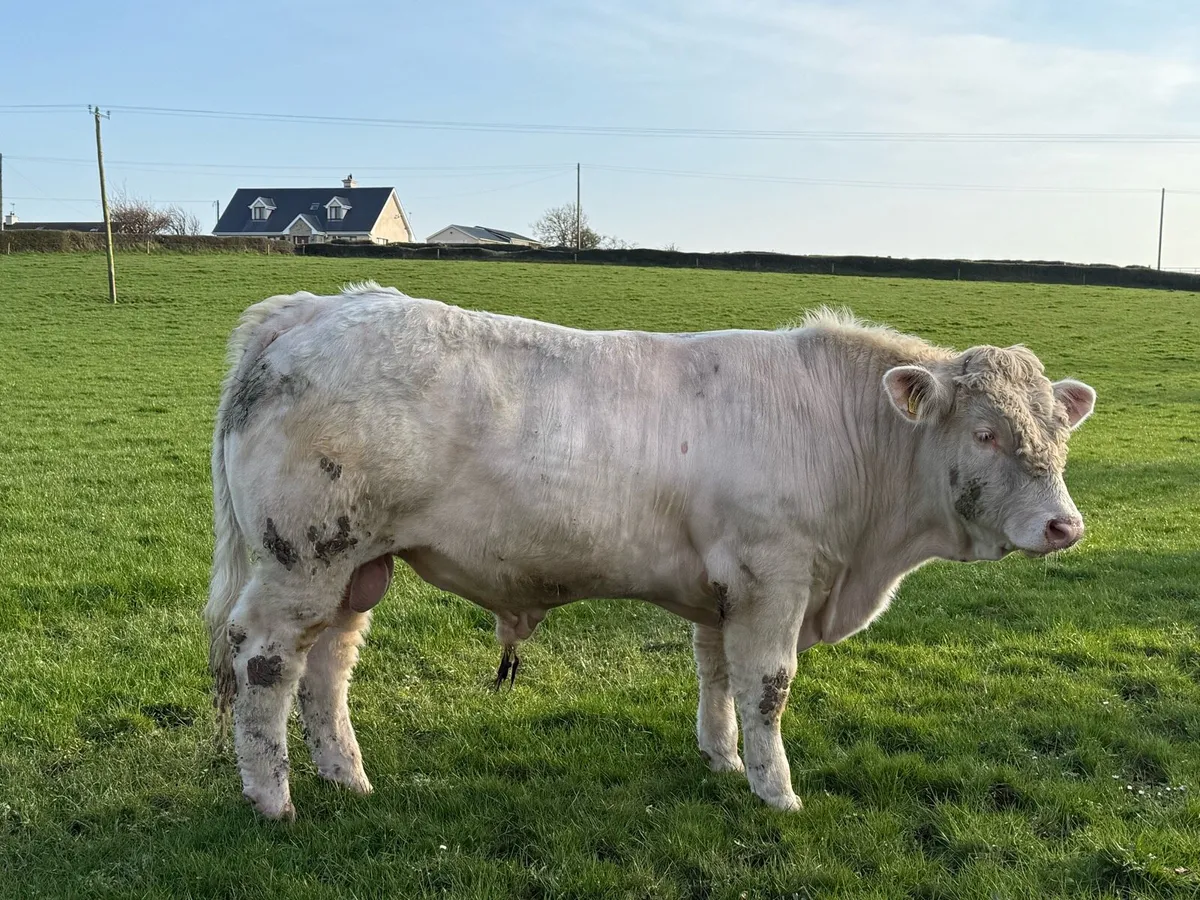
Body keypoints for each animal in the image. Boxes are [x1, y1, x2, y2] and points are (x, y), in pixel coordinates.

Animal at [205, 282, 1096, 820]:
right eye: (985, 434)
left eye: (1060, 429)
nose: (1065, 526)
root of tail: (318, 305)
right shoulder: (775, 577)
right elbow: (768, 685)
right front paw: (778, 792)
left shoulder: (725, 589)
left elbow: (717, 673)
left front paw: (722, 758)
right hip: (303, 558)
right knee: (267, 663)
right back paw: (274, 799)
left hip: (356, 566)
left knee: (328, 666)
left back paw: (346, 775)